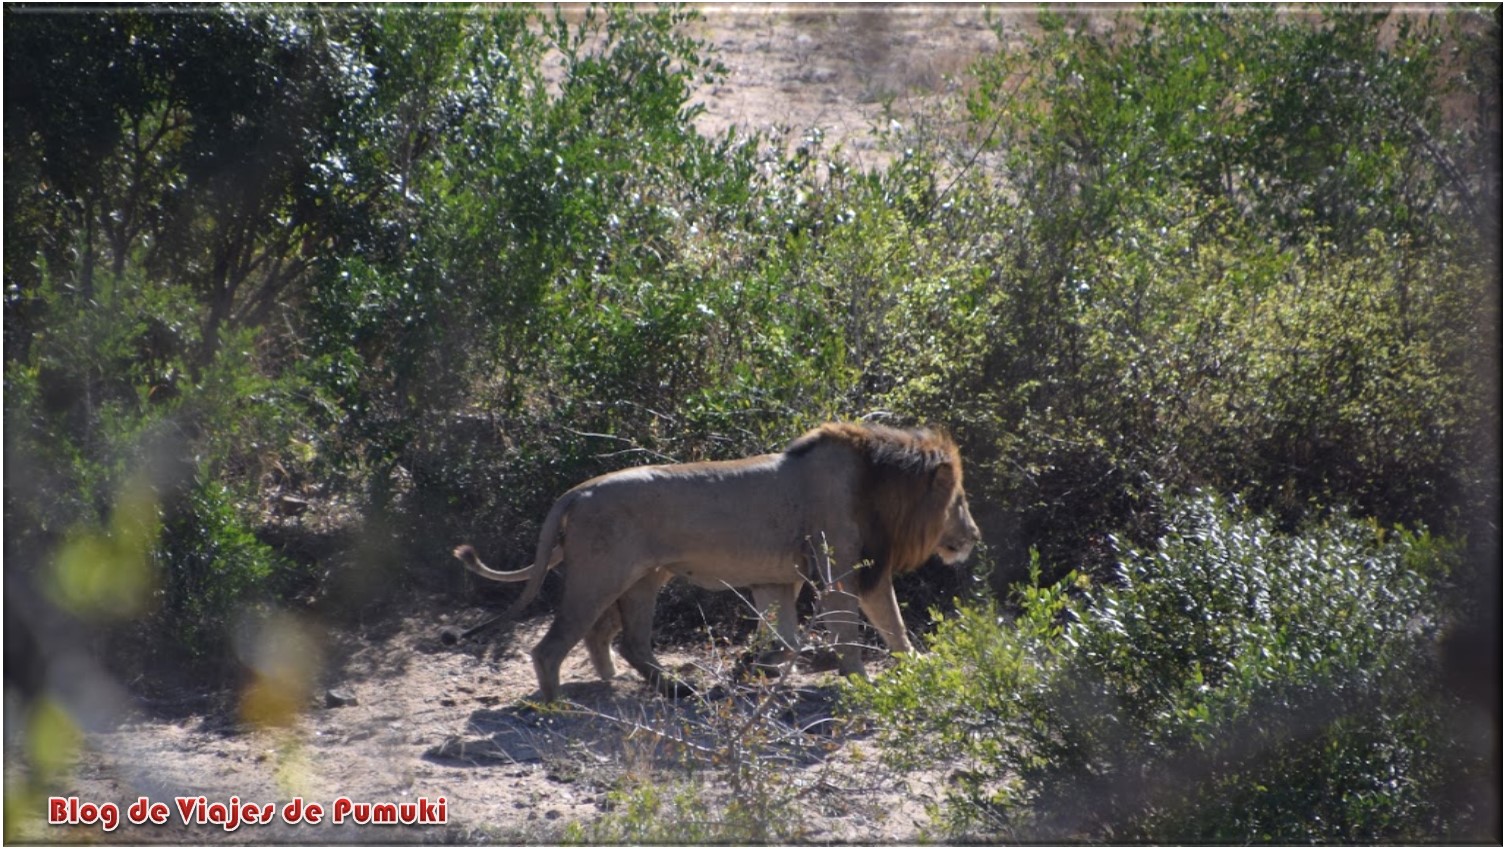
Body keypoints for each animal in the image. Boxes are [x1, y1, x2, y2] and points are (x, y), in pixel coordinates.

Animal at [451, 421, 980, 702]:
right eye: (958, 500)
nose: (974, 536)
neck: (879, 484)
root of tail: (576, 491)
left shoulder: (779, 579)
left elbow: (787, 635)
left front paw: (767, 666)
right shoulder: (843, 573)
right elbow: (872, 627)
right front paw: (866, 678)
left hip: (640, 580)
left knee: (620, 641)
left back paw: (656, 687)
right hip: (599, 578)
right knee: (552, 646)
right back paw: (558, 704)